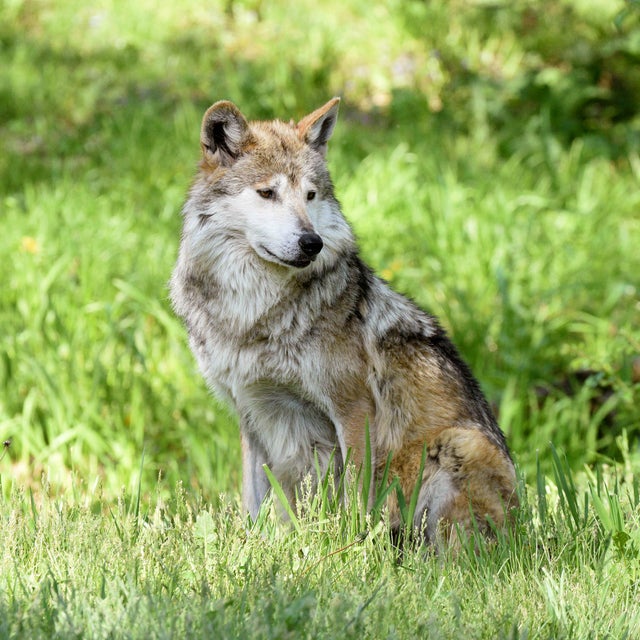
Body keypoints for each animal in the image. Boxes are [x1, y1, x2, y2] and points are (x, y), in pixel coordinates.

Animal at [169, 98, 517, 545]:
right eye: (267, 193)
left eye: (310, 195)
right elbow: (254, 500)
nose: (312, 243)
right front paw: (254, 544)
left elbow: (354, 497)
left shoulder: (352, 410)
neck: (254, 312)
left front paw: (348, 547)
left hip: (458, 443)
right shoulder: (249, 411)